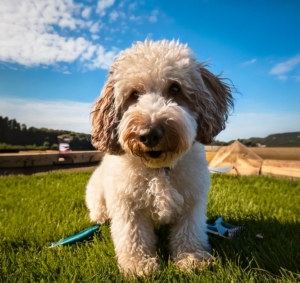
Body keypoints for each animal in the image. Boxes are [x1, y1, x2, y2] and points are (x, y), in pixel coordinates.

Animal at [85, 40, 233, 278]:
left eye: (175, 88)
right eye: (133, 94)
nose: (149, 133)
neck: (159, 169)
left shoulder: (192, 203)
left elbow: (189, 232)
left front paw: (191, 259)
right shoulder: (128, 207)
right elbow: (133, 237)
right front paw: (138, 265)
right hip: (97, 198)